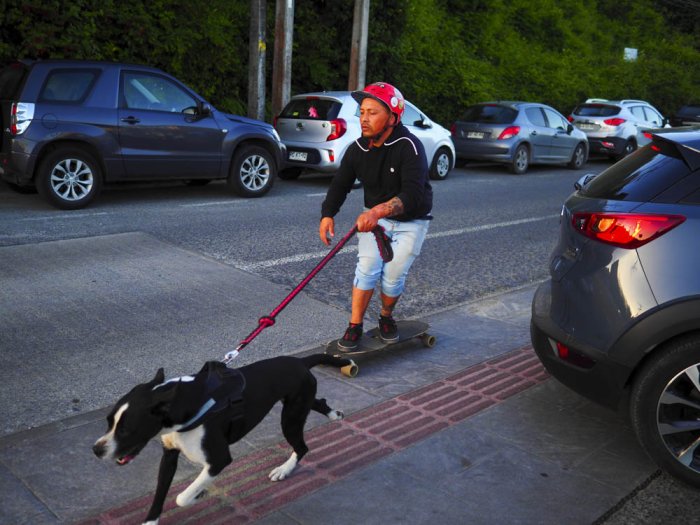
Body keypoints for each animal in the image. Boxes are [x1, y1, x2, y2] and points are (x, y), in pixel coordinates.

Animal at [93, 354, 352, 520]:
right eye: (108, 422)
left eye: (127, 429)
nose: (96, 450)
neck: (182, 403)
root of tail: (300, 361)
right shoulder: (169, 455)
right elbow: (159, 496)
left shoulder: (218, 460)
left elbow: (181, 498)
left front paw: (200, 494)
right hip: (298, 405)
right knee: (318, 403)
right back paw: (334, 414)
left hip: (290, 419)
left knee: (302, 447)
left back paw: (284, 470)